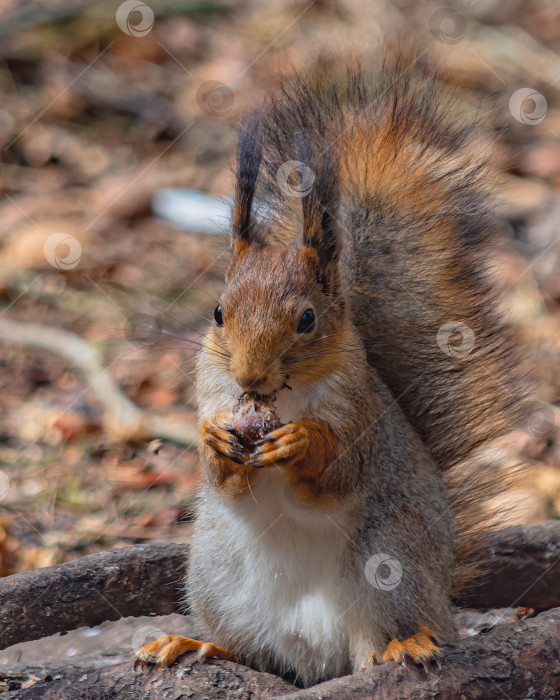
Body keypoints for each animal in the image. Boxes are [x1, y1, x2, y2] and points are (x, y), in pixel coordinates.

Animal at [136, 42, 524, 684]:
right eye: (218, 312)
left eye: (307, 319)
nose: (249, 378)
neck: (285, 396)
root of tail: (317, 650)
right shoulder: (211, 390)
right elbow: (220, 475)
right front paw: (214, 440)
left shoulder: (361, 413)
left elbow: (340, 470)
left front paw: (303, 443)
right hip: (216, 576)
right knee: (252, 654)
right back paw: (194, 643)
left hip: (390, 560)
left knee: (379, 634)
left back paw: (402, 646)